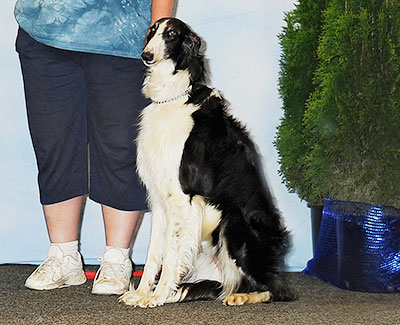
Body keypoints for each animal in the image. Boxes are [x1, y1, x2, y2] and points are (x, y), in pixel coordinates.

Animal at [119, 17, 294, 306]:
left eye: (172, 34)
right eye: (152, 32)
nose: (146, 56)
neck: (175, 97)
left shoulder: (182, 197)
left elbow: (169, 254)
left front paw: (156, 296)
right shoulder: (159, 199)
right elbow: (154, 253)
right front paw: (144, 293)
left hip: (233, 224)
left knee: (278, 289)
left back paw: (241, 296)